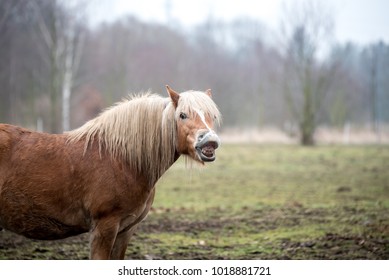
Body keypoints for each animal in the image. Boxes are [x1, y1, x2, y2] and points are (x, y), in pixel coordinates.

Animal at [0, 86, 221, 260]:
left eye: (212, 116)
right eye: (182, 115)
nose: (210, 142)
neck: (120, 158)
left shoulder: (125, 231)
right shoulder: (105, 227)